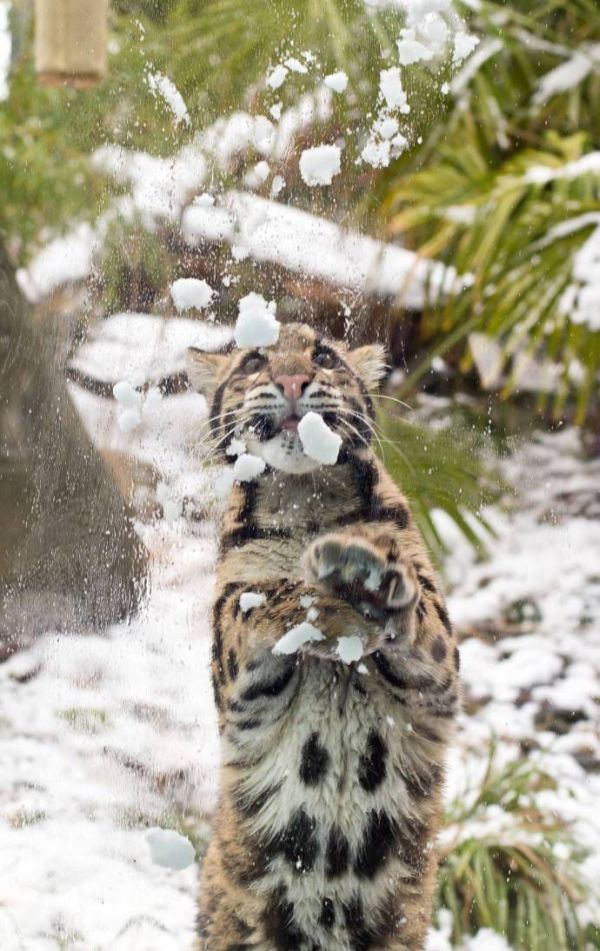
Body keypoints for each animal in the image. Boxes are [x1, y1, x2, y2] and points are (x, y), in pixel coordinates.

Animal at [188, 324, 460, 948]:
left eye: (323, 356)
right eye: (254, 360)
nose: (292, 379)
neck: (305, 497)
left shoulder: (439, 675)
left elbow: (419, 611)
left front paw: (368, 576)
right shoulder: (234, 684)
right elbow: (255, 604)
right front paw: (319, 596)